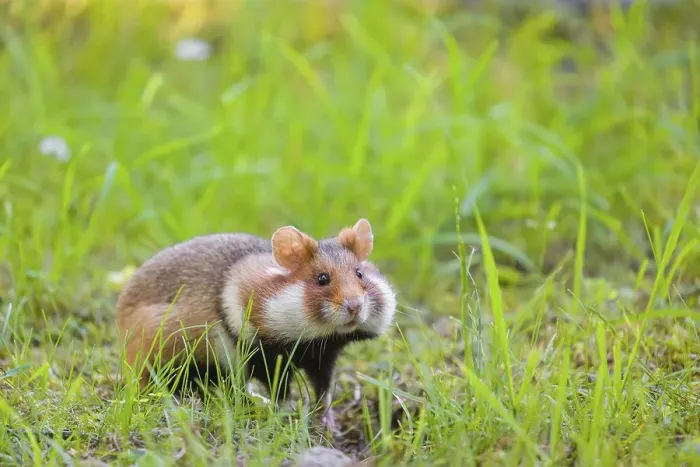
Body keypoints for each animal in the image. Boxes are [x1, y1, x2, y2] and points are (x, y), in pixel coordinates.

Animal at [115, 218, 397, 429]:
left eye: (360, 274)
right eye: (322, 279)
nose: (355, 307)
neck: (316, 336)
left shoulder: (324, 356)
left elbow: (324, 391)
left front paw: (328, 425)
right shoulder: (265, 356)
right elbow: (281, 393)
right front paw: (286, 417)